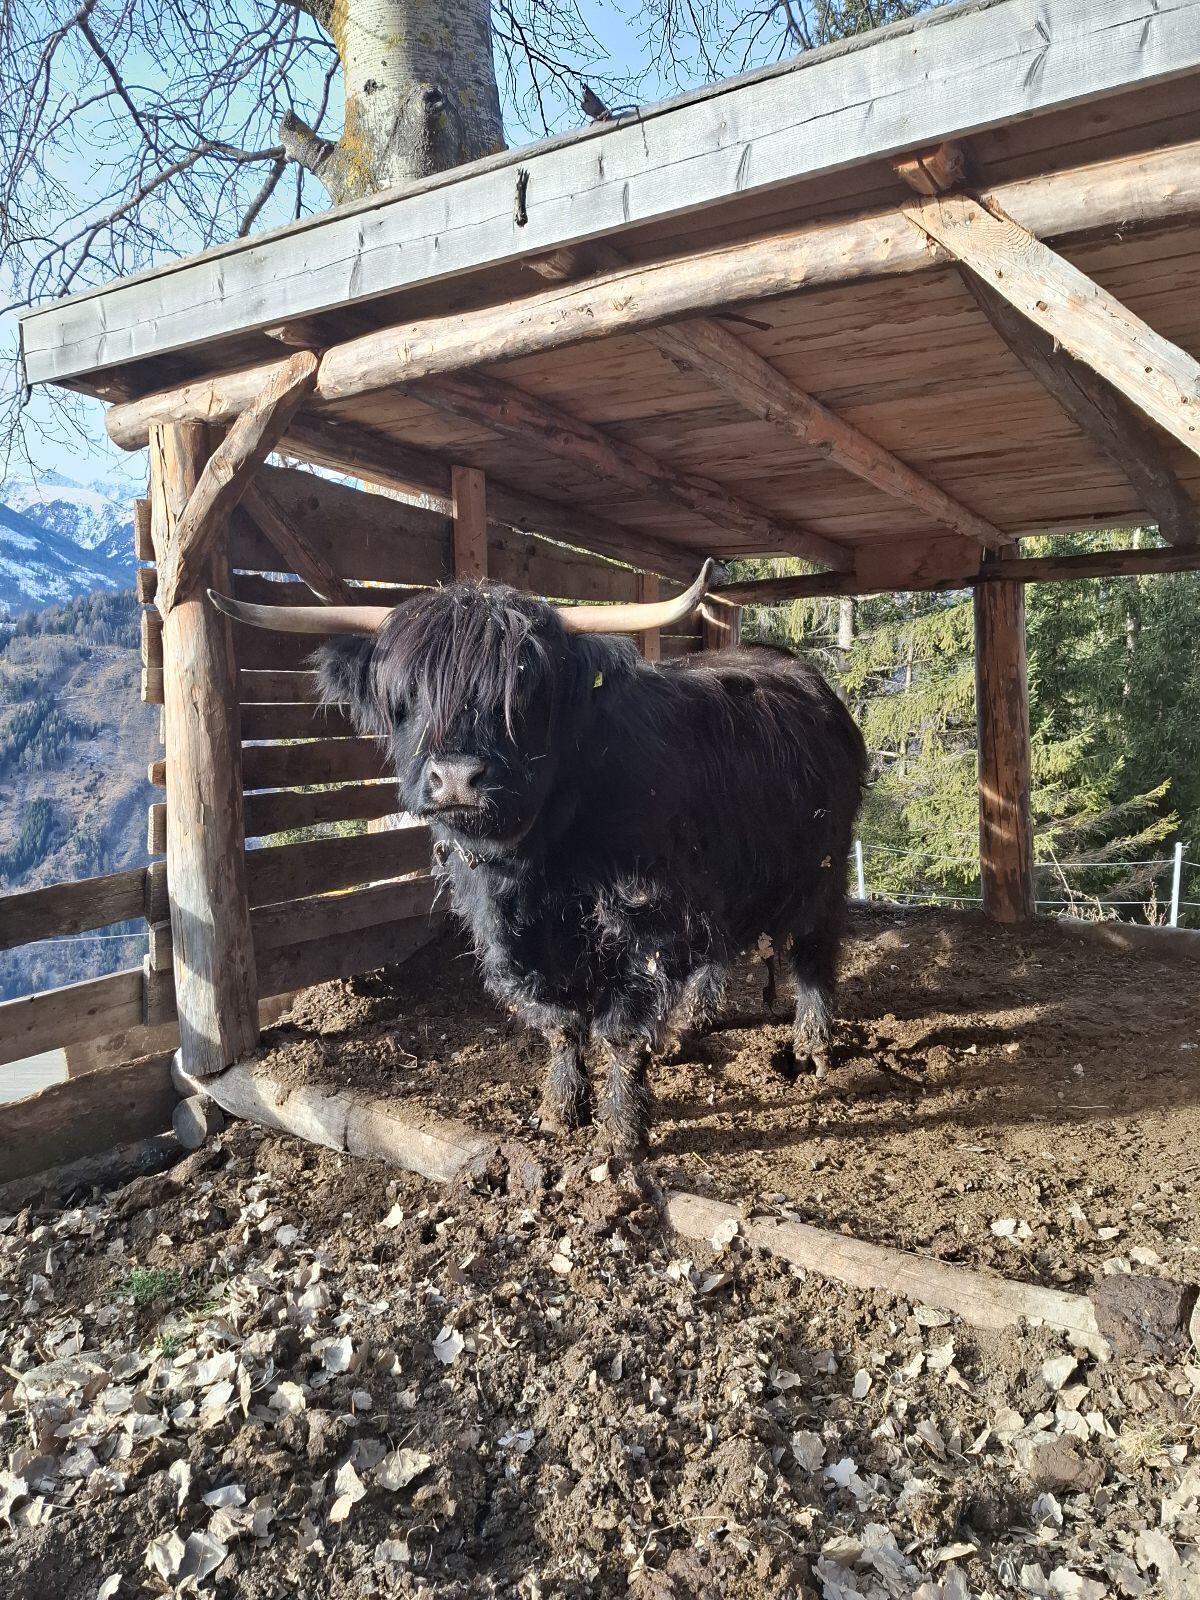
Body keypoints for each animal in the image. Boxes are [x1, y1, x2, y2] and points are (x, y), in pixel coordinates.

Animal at [210, 566, 866, 1155]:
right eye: (407, 696)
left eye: (523, 695)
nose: (457, 777)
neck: (537, 873)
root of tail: (795, 668)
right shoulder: (515, 942)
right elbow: (558, 1022)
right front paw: (559, 1108)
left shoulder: (647, 925)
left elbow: (620, 1033)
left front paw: (622, 1134)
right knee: (718, 957)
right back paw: (689, 1029)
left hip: (825, 864)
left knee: (814, 949)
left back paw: (812, 1045)